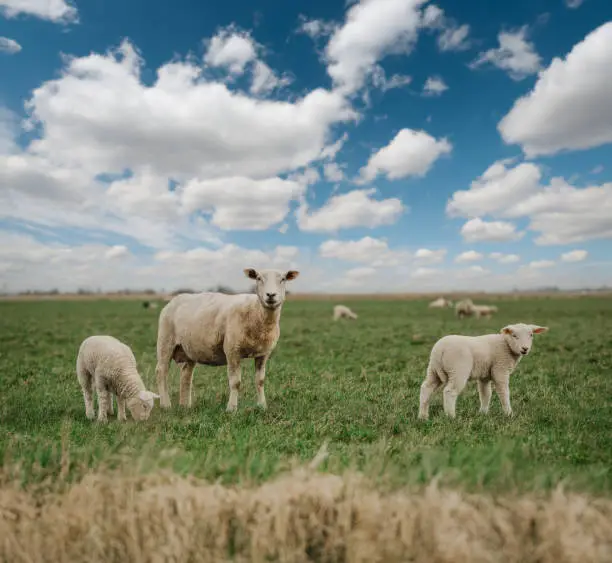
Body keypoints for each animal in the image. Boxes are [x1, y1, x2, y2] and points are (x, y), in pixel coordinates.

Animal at [155, 266, 298, 412]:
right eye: (258, 278)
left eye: (283, 279)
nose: (271, 295)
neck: (256, 312)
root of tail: (174, 300)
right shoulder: (232, 350)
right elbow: (235, 382)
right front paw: (231, 409)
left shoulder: (263, 353)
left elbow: (260, 381)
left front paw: (262, 406)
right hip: (165, 341)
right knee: (161, 371)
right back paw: (166, 405)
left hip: (189, 349)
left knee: (186, 375)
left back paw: (185, 406)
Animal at [418, 324, 548, 420]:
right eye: (515, 335)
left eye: (531, 335)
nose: (525, 349)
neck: (506, 345)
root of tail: (440, 350)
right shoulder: (500, 369)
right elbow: (504, 392)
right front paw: (509, 414)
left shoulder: (485, 375)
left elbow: (485, 393)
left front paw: (483, 413)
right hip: (458, 370)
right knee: (450, 392)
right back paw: (451, 417)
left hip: (433, 369)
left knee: (426, 388)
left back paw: (423, 416)